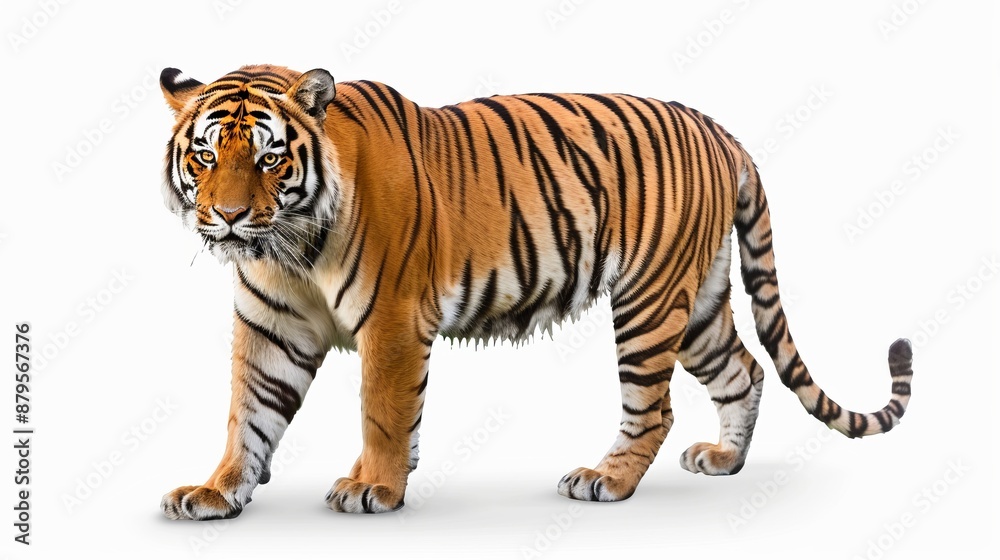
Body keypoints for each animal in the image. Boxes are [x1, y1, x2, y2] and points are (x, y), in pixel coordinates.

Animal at [157, 64, 913, 520]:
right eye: (205, 154)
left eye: (268, 156)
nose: (228, 216)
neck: (287, 247)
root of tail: (719, 130)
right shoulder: (271, 327)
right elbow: (248, 415)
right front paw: (216, 491)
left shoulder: (393, 321)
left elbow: (383, 411)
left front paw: (375, 485)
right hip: (697, 300)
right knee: (744, 370)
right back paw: (725, 460)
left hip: (649, 297)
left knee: (655, 408)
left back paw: (606, 481)